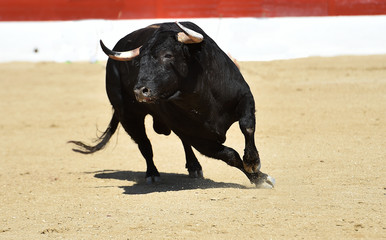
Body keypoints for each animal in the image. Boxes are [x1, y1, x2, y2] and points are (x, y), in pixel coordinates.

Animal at [69, 21, 274, 188]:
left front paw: (253, 163)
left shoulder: (244, 96)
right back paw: (152, 174)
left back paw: (194, 167)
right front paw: (260, 178)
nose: (139, 91)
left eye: (167, 55)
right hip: (129, 116)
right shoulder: (199, 138)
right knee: (145, 144)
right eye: (138, 62)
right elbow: (230, 155)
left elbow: (247, 126)